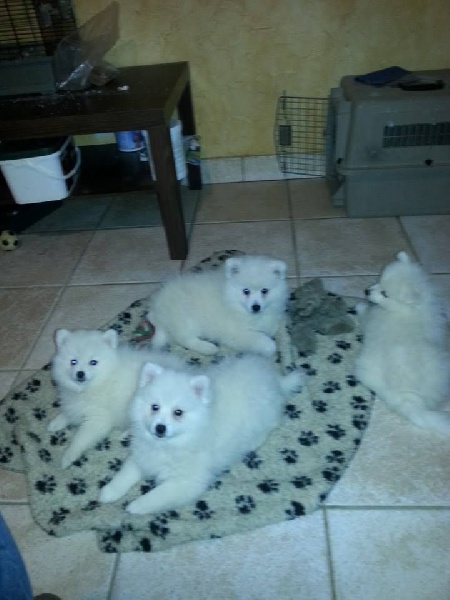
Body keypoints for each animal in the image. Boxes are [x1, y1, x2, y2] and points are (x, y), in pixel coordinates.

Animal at [49, 328, 184, 468]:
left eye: (93, 362)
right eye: (73, 361)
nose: (80, 373)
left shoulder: (97, 419)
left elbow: (80, 439)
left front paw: (68, 456)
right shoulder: (74, 403)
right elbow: (69, 412)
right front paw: (57, 422)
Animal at [98, 355, 304, 514]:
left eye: (178, 412)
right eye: (154, 407)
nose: (160, 428)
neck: (170, 444)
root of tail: (275, 380)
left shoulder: (186, 482)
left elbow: (157, 495)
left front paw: (134, 506)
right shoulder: (143, 455)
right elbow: (125, 473)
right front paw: (109, 492)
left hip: (263, 417)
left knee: (270, 426)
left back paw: (254, 442)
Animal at [147, 254, 288, 357]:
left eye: (264, 291)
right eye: (246, 291)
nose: (256, 307)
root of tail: (157, 309)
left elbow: (271, 327)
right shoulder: (237, 333)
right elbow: (261, 340)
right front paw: (269, 347)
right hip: (185, 319)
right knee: (185, 339)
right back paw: (208, 348)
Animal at [354, 251, 450, 435]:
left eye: (385, 294)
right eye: (379, 279)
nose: (366, 291)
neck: (409, 309)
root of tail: (411, 398)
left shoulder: (373, 320)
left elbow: (366, 315)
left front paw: (360, 306)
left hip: (366, 368)